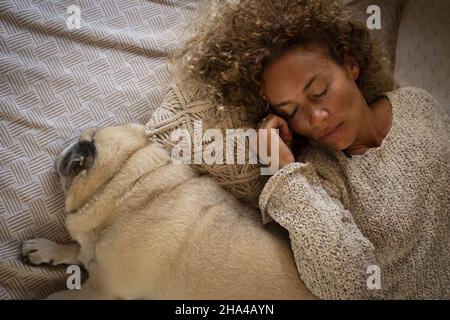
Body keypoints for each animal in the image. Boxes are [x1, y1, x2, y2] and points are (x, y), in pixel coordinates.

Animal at [21, 124, 316, 298]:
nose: (67, 148)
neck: (127, 185)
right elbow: (76, 250)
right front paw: (47, 250)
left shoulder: (103, 289)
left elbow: (60, 295)